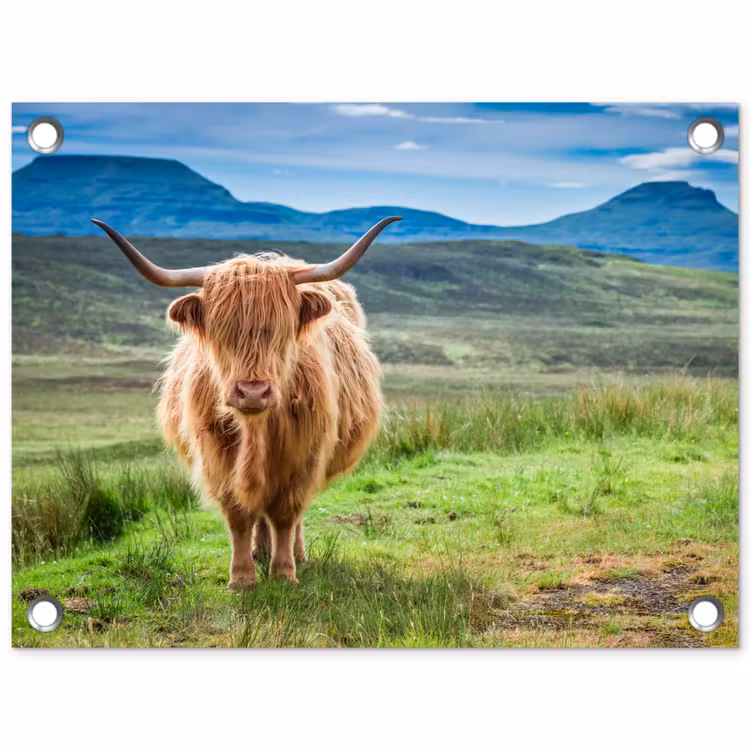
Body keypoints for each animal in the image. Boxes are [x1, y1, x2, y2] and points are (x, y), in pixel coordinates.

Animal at [92, 217, 400, 588]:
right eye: (221, 331)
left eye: (281, 330)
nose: (253, 392)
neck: (256, 430)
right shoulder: (217, 455)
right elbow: (239, 514)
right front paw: (241, 578)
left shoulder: (303, 456)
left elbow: (285, 514)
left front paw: (284, 573)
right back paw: (259, 551)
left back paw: (293, 555)